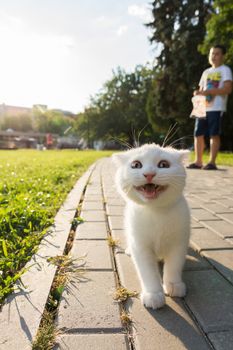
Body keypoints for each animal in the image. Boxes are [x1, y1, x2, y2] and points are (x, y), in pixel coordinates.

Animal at [112, 144, 190, 310]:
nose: (149, 174)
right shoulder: (140, 245)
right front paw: (153, 294)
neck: (156, 212)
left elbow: (174, 264)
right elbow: (147, 271)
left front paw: (174, 284)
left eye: (163, 164)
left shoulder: (179, 240)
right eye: (136, 165)